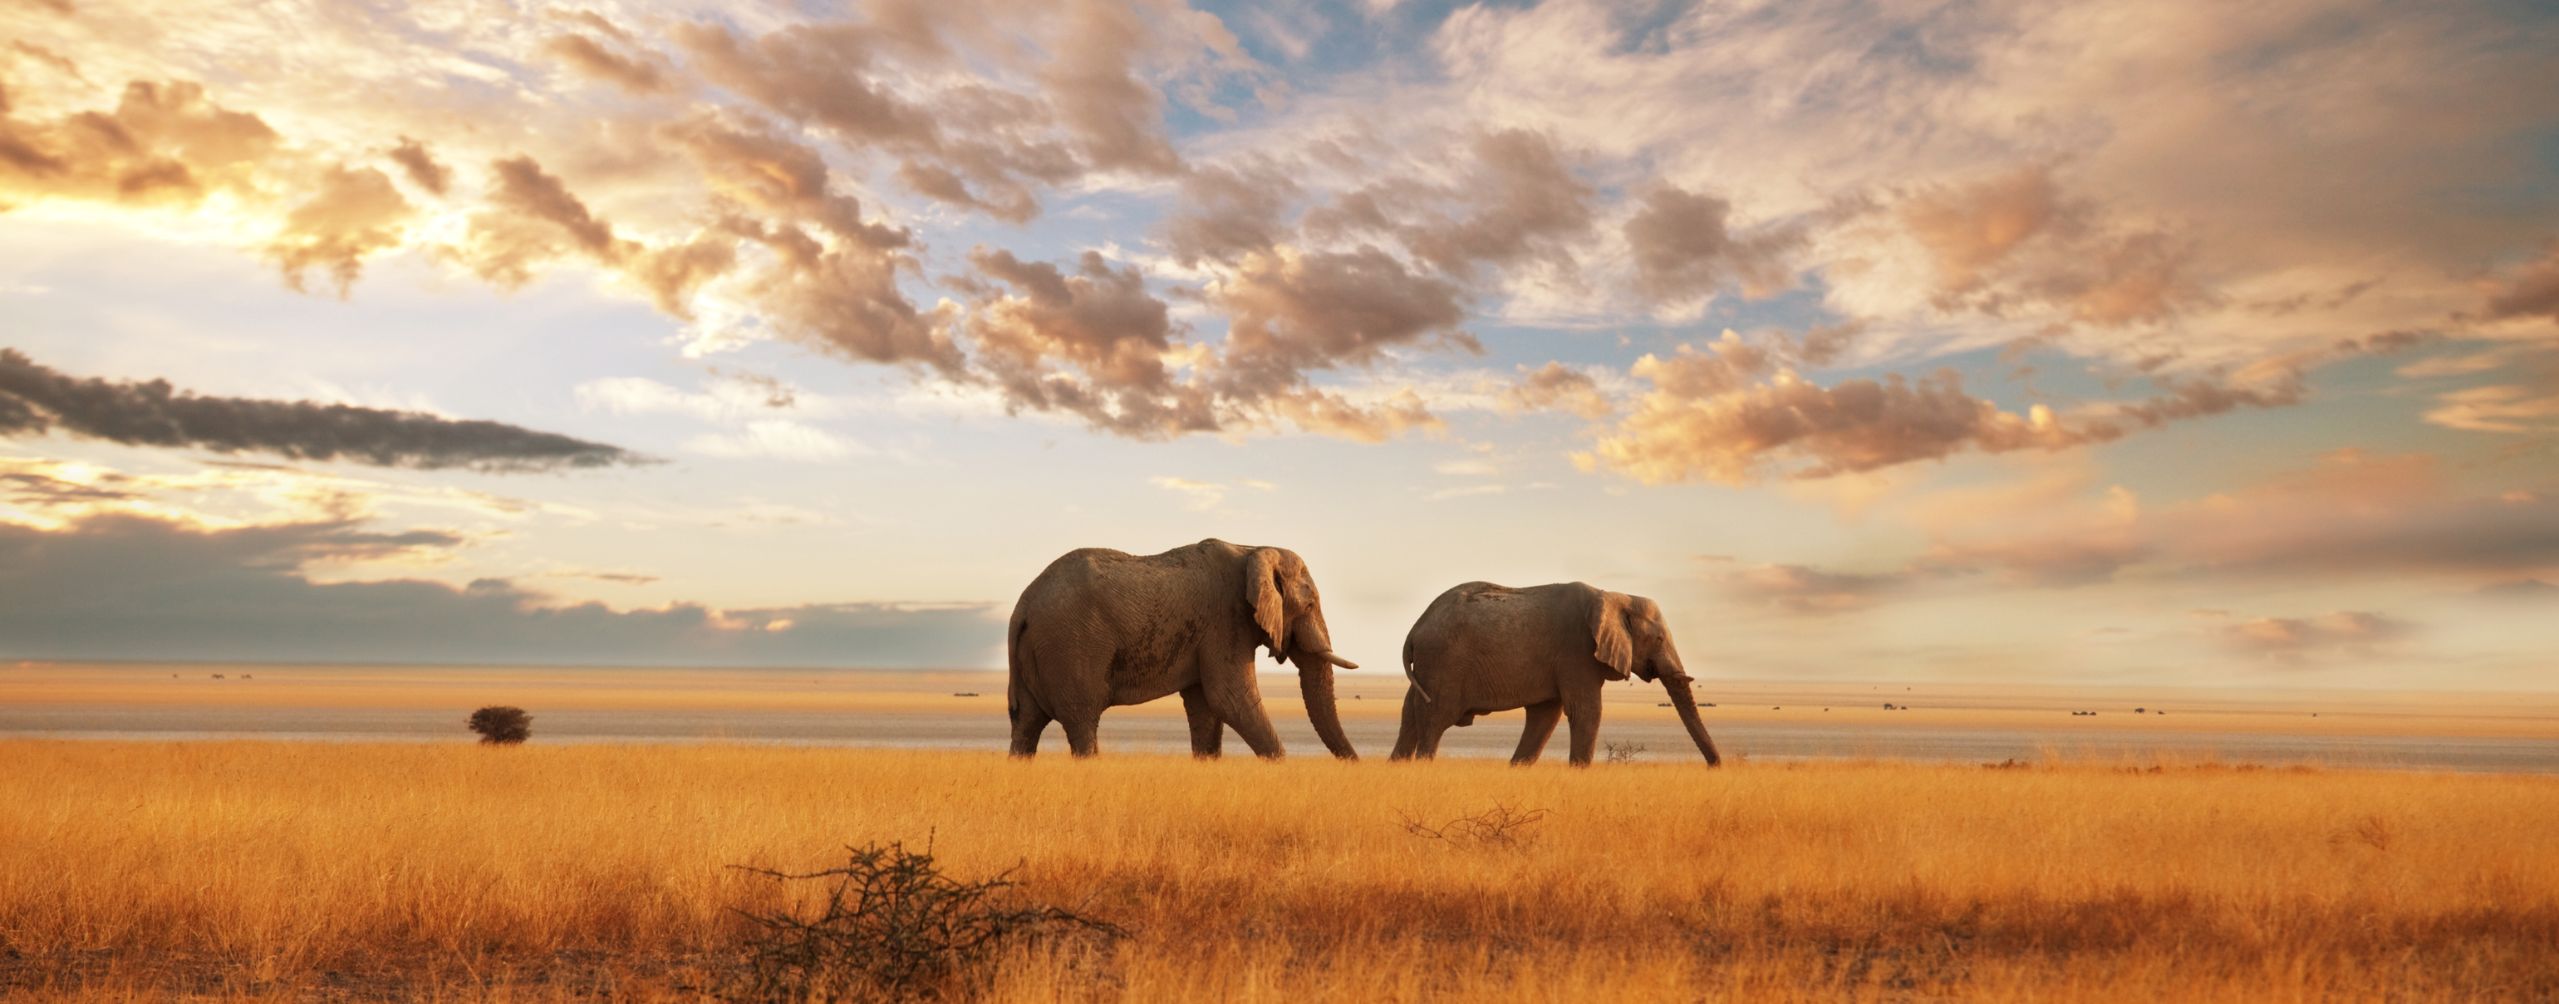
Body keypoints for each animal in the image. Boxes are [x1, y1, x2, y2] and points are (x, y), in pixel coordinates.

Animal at [1006, 538, 1361, 760]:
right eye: (1310, 605)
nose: (1354, 765)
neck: (1254, 549)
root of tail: (1024, 603)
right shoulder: (1225, 622)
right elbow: (1229, 698)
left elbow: (1205, 707)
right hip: (1071, 646)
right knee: (1082, 721)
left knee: (1026, 723)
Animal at [1390, 581, 1721, 767]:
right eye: (1659, 639)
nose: (1715, 766)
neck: (1614, 596)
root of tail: (1415, 628)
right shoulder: (1576, 652)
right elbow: (1585, 710)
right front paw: (1580, 772)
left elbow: (1545, 716)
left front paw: (1518, 769)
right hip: (1443, 664)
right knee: (1435, 720)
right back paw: (1423, 766)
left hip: (1429, 666)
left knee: (1410, 716)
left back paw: (1396, 766)